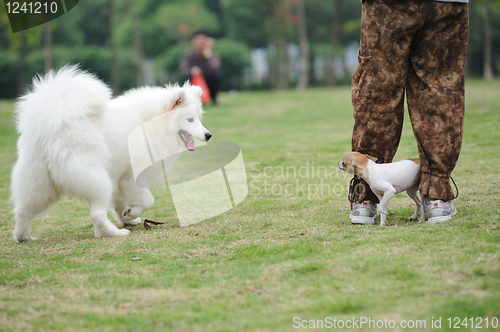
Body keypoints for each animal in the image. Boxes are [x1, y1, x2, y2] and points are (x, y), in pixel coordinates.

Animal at [11, 65, 211, 241]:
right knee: (97, 214)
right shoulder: (131, 176)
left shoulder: (118, 178)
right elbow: (148, 200)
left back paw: (24, 237)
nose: (208, 135)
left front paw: (126, 218)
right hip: (97, 180)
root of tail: (54, 124)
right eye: (189, 119)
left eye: (199, 118)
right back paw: (114, 233)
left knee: (22, 212)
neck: (151, 122)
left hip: (40, 187)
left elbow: (118, 204)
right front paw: (131, 214)